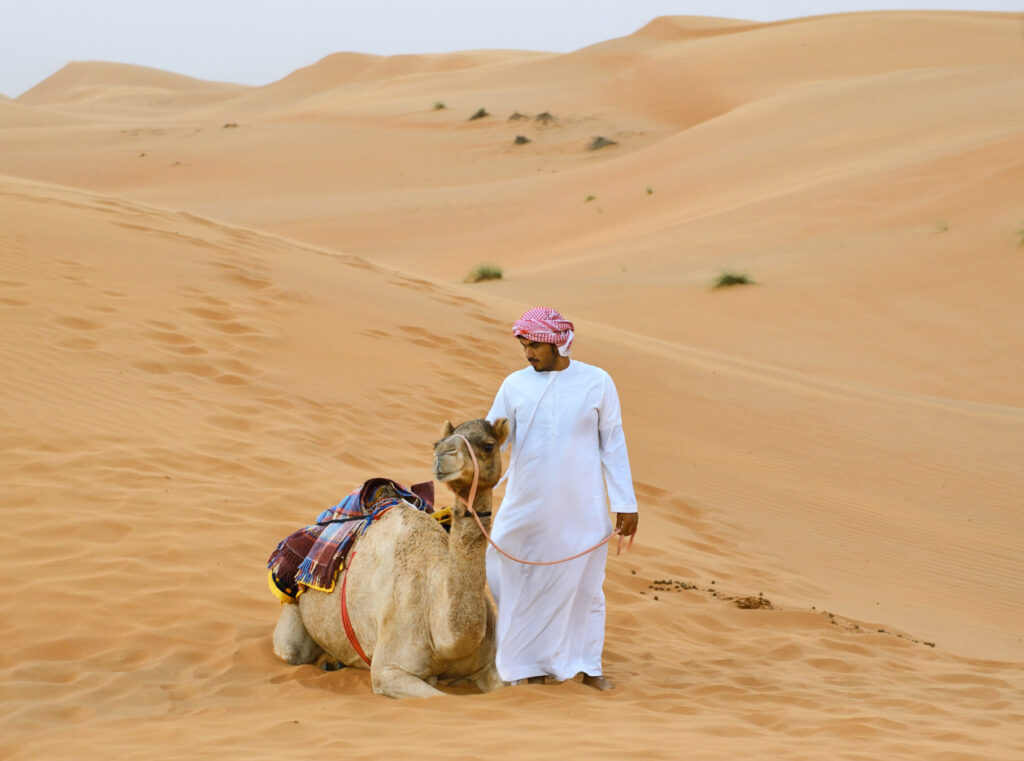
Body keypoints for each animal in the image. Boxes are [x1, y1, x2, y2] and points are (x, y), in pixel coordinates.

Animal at [272, 419, 507, 700]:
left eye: (488, 445)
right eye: (437, 444)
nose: (443, 454)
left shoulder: (488, 664)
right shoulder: (389, 669)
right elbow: (440, 698)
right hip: (292, 616)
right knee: (289, 650)